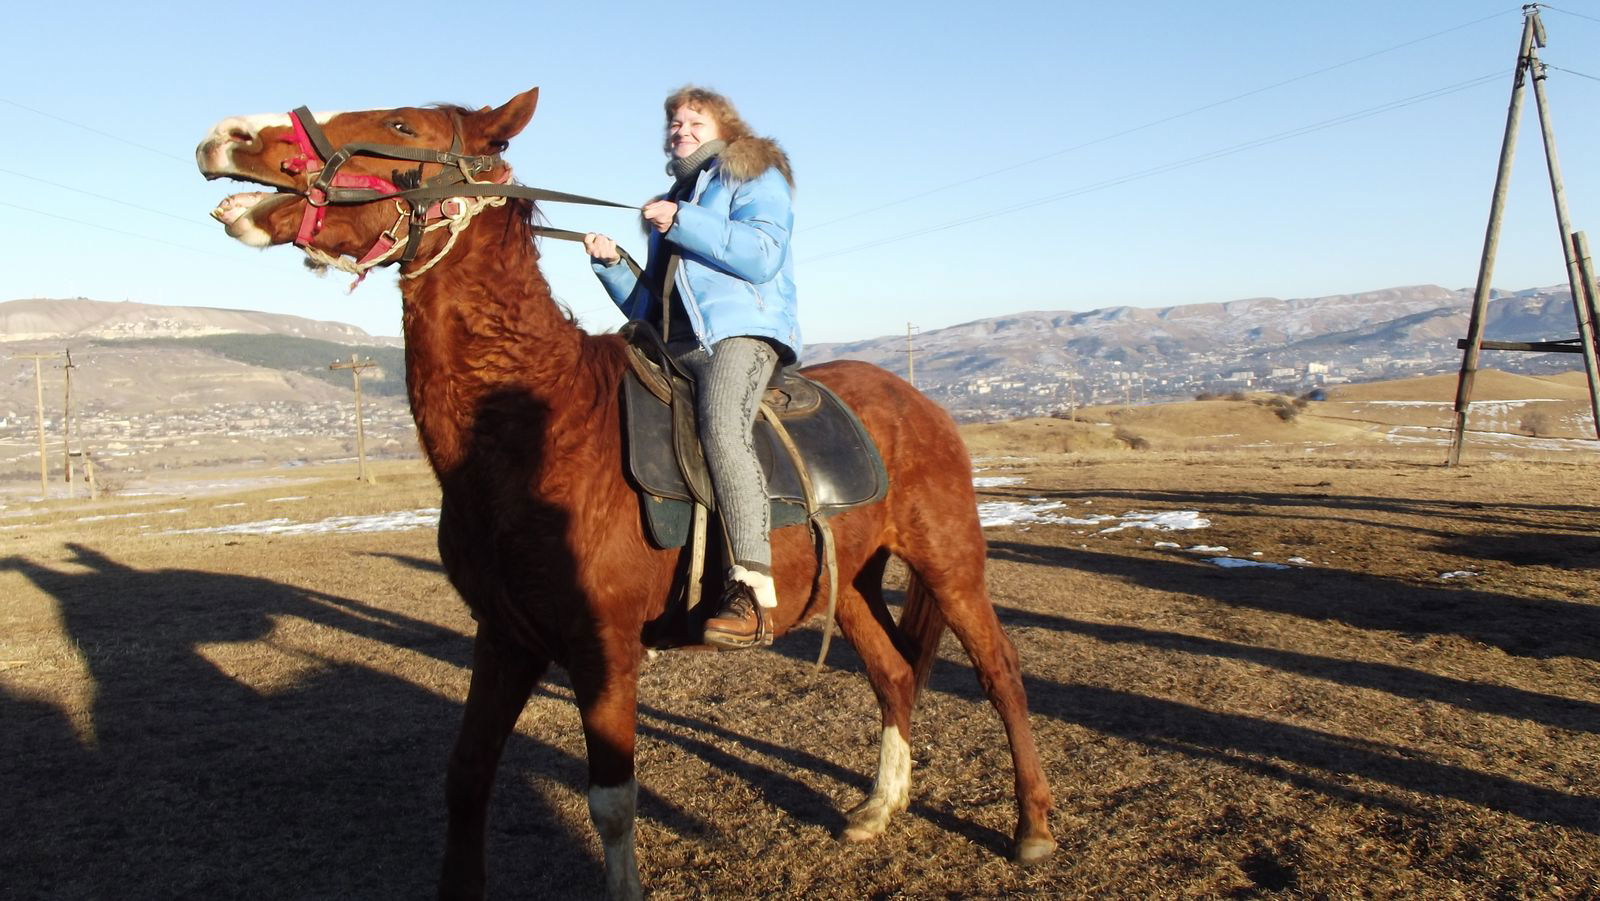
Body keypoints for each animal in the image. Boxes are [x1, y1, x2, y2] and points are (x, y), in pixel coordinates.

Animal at [193, 88, 1056, 896]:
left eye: (402, 127)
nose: (228, 134)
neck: (539, 424)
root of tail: (921, 402)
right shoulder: (505, 637)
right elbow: (466, 778)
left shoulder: (601, 645)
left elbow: (611, 802)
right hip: (846, 583)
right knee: (895, 675)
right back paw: (878, 807)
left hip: (950, 563)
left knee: (1001, 675)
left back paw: (1033, 826)